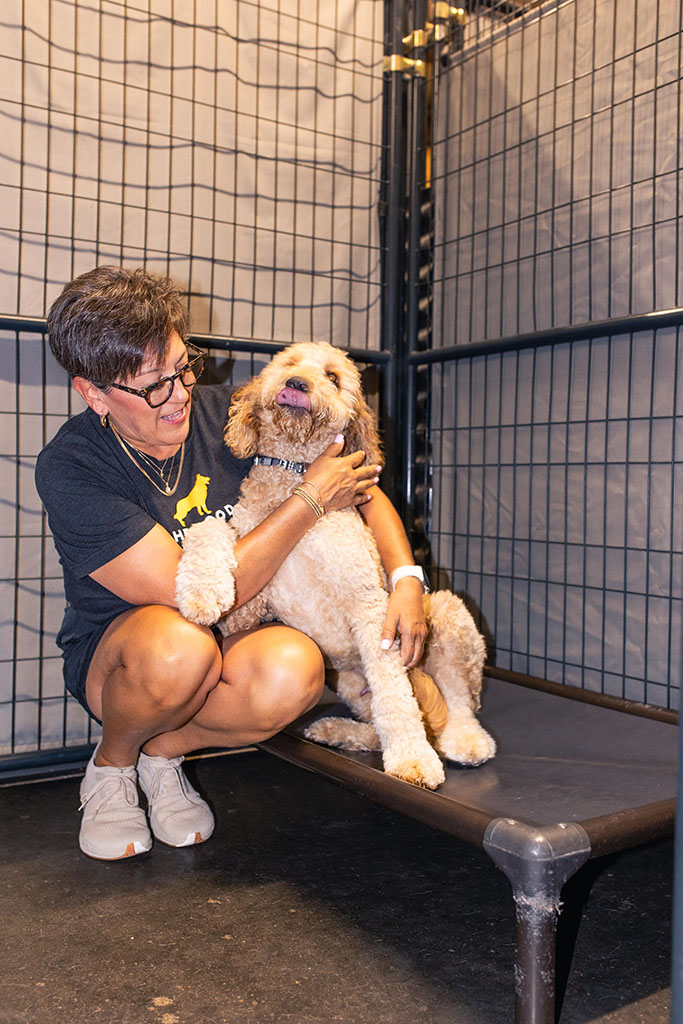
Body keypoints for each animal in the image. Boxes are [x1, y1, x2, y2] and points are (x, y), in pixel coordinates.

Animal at [175, 342, 496, 789]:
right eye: (290, 364)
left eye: (332, 377)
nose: (297, 383)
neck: (292, 478)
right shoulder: (246, 610)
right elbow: (209, 528)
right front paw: (201, 592)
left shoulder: (370, 608)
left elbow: (396, 699)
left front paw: (413, 760)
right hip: (347, 680)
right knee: (378, 723)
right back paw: (338, 731)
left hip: (447, 615)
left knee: (458, 700)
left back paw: (464, 741)